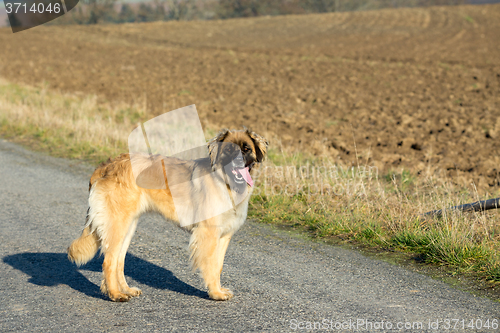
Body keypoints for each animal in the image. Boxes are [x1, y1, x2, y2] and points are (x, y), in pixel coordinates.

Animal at [69, 127, 270, 300]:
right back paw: (115, 294)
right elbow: (211, 265)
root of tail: (107, 165)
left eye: (246, 149)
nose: (238, 161)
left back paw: (125, 289)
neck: (226, 182)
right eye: (229, 149)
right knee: (109, 261)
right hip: (118, 224)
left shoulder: (223, 236)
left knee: (119, 260)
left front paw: (218, 290)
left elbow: (218, 266)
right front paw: (215, 293)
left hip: (128, 226)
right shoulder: (209, 233)